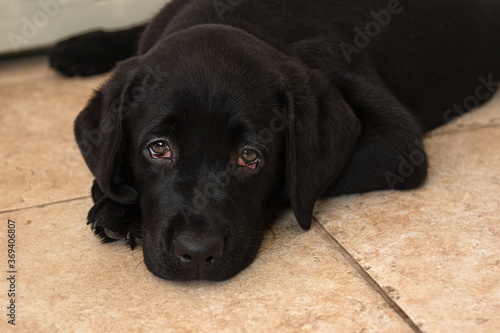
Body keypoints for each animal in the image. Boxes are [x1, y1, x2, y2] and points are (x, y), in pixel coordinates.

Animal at [50, 0, 500, 280]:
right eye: (158, 148)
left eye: (250, 157)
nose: (197, 254)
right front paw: (115, 202)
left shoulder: (397, 143)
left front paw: (118, 206)